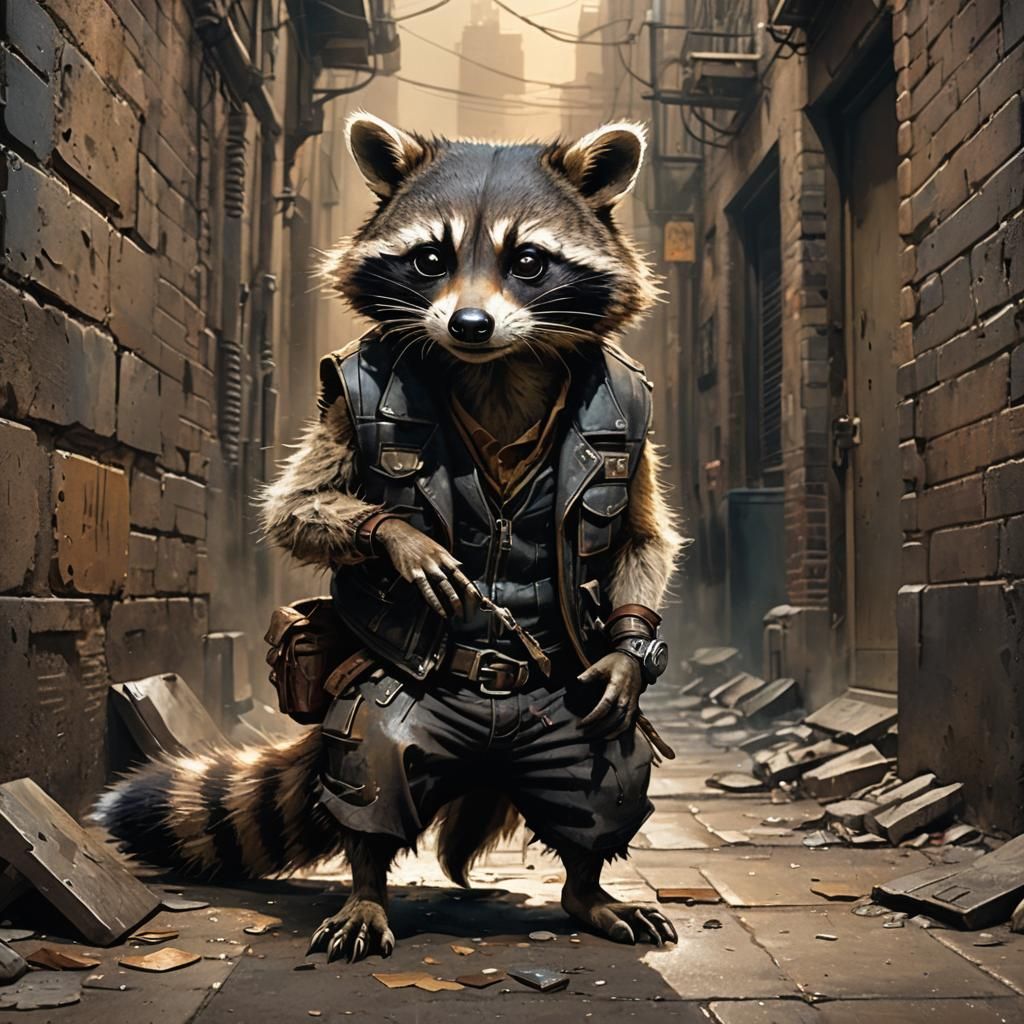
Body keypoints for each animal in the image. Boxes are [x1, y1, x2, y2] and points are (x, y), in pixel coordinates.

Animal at [95, 115, 684, 963]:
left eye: (528, 261)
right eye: (431, 258)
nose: (469, 325)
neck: (498, 372)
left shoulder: (630, 419)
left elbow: (642, 533)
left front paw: (625, 655)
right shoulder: (344, 402)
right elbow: (296, 504)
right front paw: (404, 540)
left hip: (566, 725)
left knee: (599, 782)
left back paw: (586, 887)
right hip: (387, 700)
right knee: (372, 763)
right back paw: (369, 885)